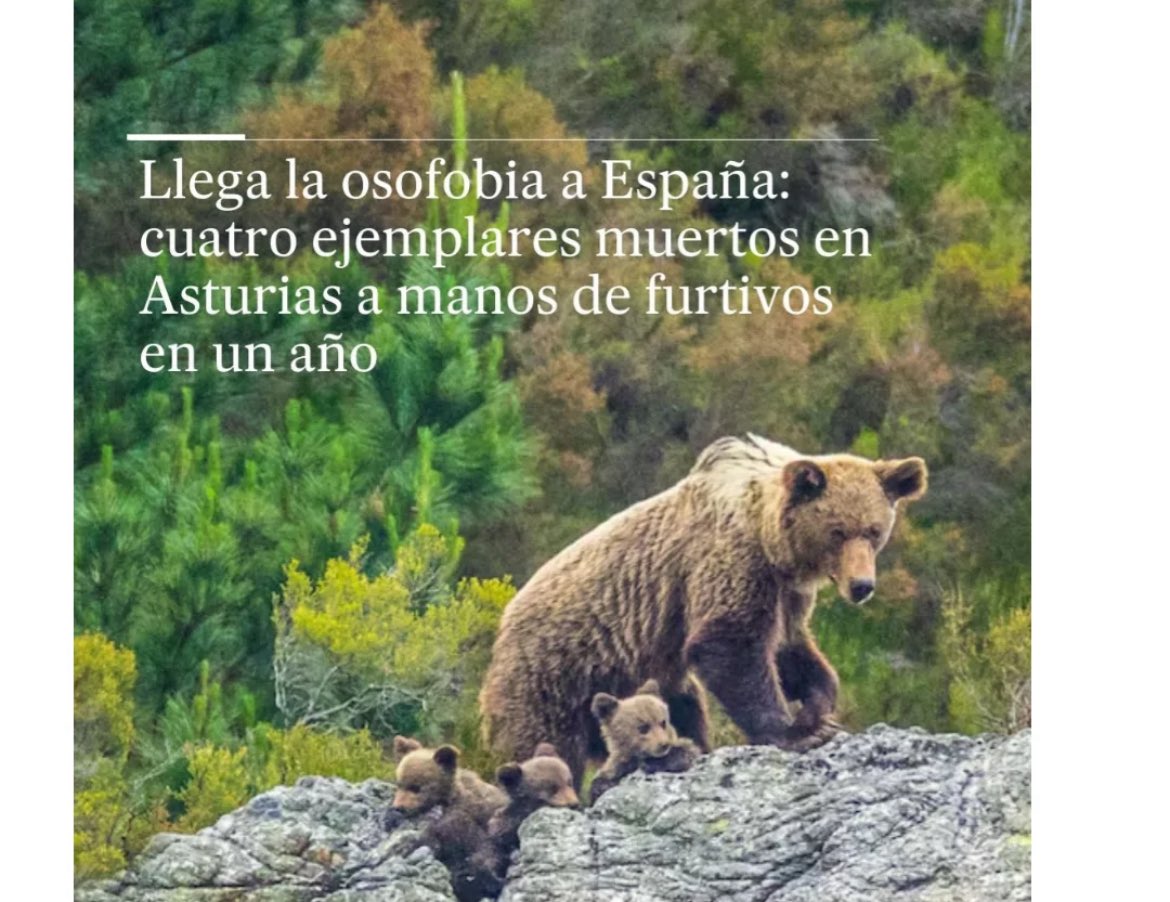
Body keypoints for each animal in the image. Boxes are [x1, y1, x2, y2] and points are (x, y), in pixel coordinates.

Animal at [479, 433, 927, 783]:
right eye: (837, 531)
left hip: (646, 679)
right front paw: (793, 731)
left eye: (874, 531)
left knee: (684, 707)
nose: (862, 586)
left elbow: (788, 647)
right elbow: (729, 643)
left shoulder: (785, 592)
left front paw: (819, 708)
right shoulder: (728, 562)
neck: (771, 541)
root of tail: (501, 628)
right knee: (544, 744)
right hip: (555, 676)